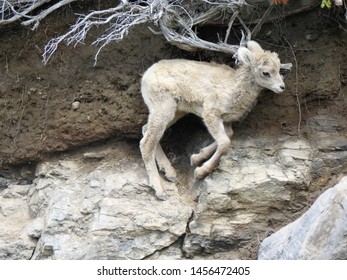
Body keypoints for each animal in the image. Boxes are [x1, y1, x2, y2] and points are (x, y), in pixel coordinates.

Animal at [141, 40, 290, 200]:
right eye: (266, 73)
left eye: (279, 68)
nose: (282, 87)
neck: (235, 88)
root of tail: (147, 75)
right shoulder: (210, 114)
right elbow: (224, 142)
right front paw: (200, 172)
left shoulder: (225, 121)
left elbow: (228, 135)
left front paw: (196, 158)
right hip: (164, 109)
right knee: (146, 143)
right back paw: (160, 191)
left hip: (175, 112)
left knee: (146, 131)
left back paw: (170, 173)